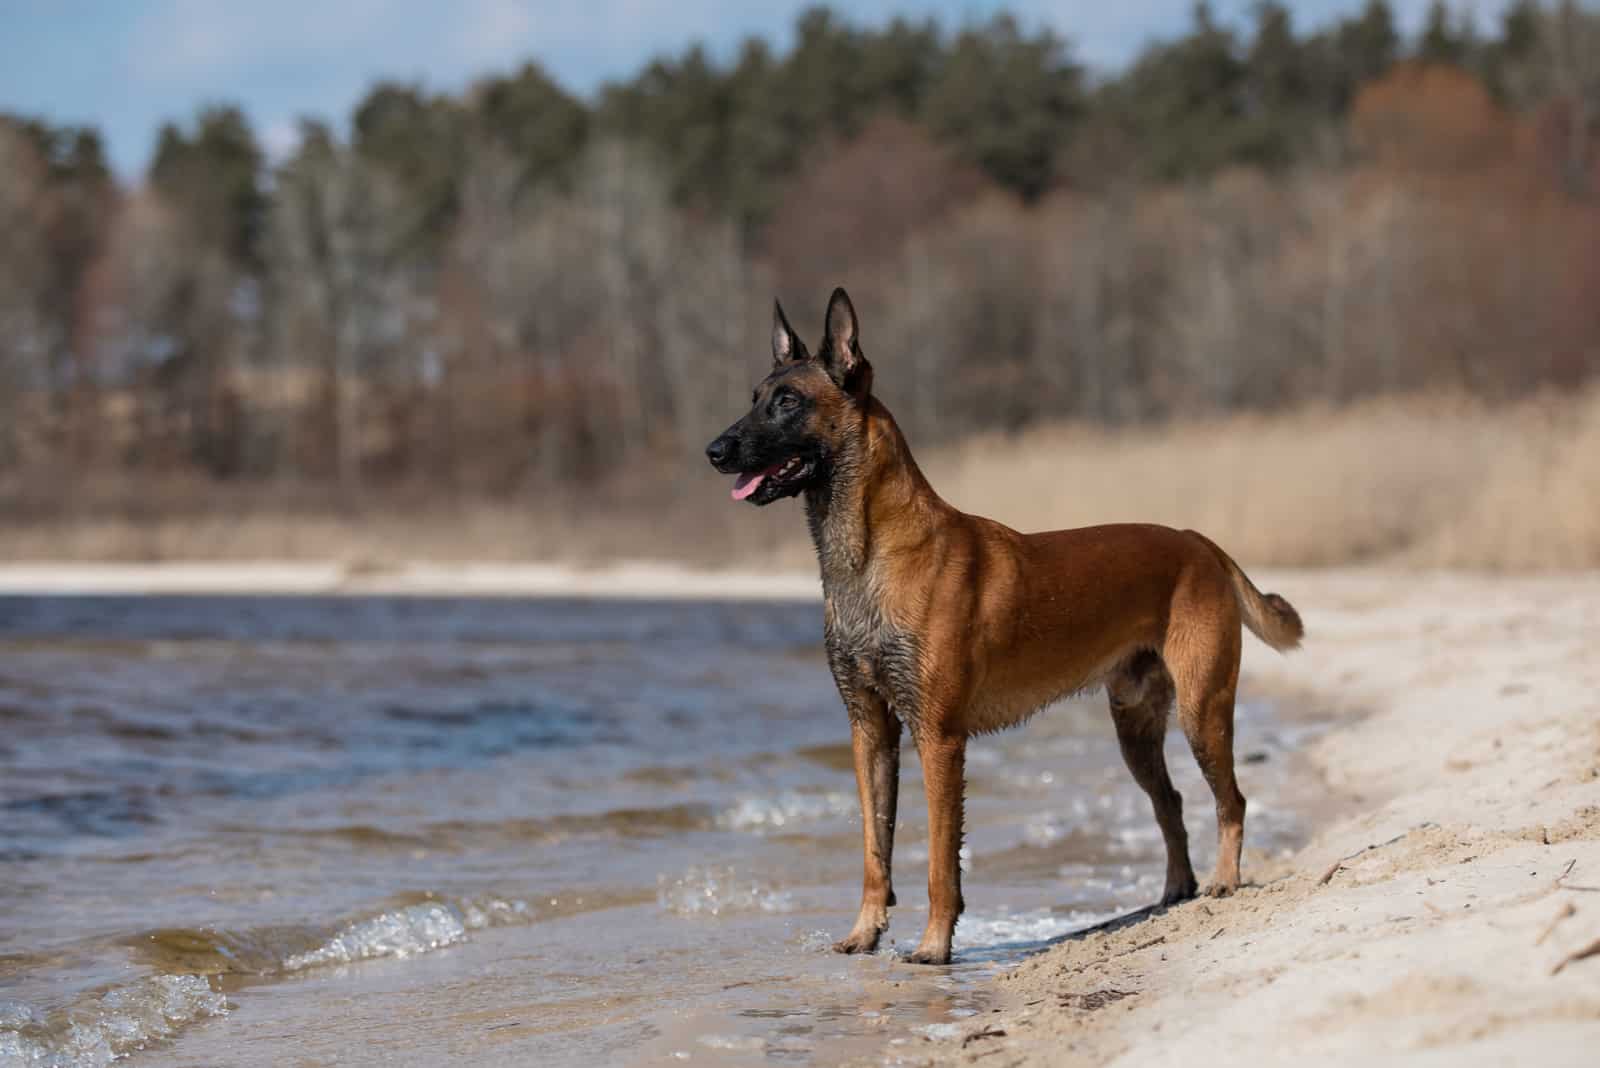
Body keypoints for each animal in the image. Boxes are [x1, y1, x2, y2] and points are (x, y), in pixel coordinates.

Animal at [707, 287, 1305, 965]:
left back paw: (1223, 882)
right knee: (1172, 803)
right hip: (1135, 729)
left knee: (1231, 799)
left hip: (1204, 711)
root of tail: (1199, 542)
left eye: (788, 402)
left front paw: (934, 946)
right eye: (755, 395)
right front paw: (865, 932)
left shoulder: (939, 738)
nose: (714, 451)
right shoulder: (870, 731)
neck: (870, 555)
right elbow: (874, 848)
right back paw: (1173, 891)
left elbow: (940, 859)